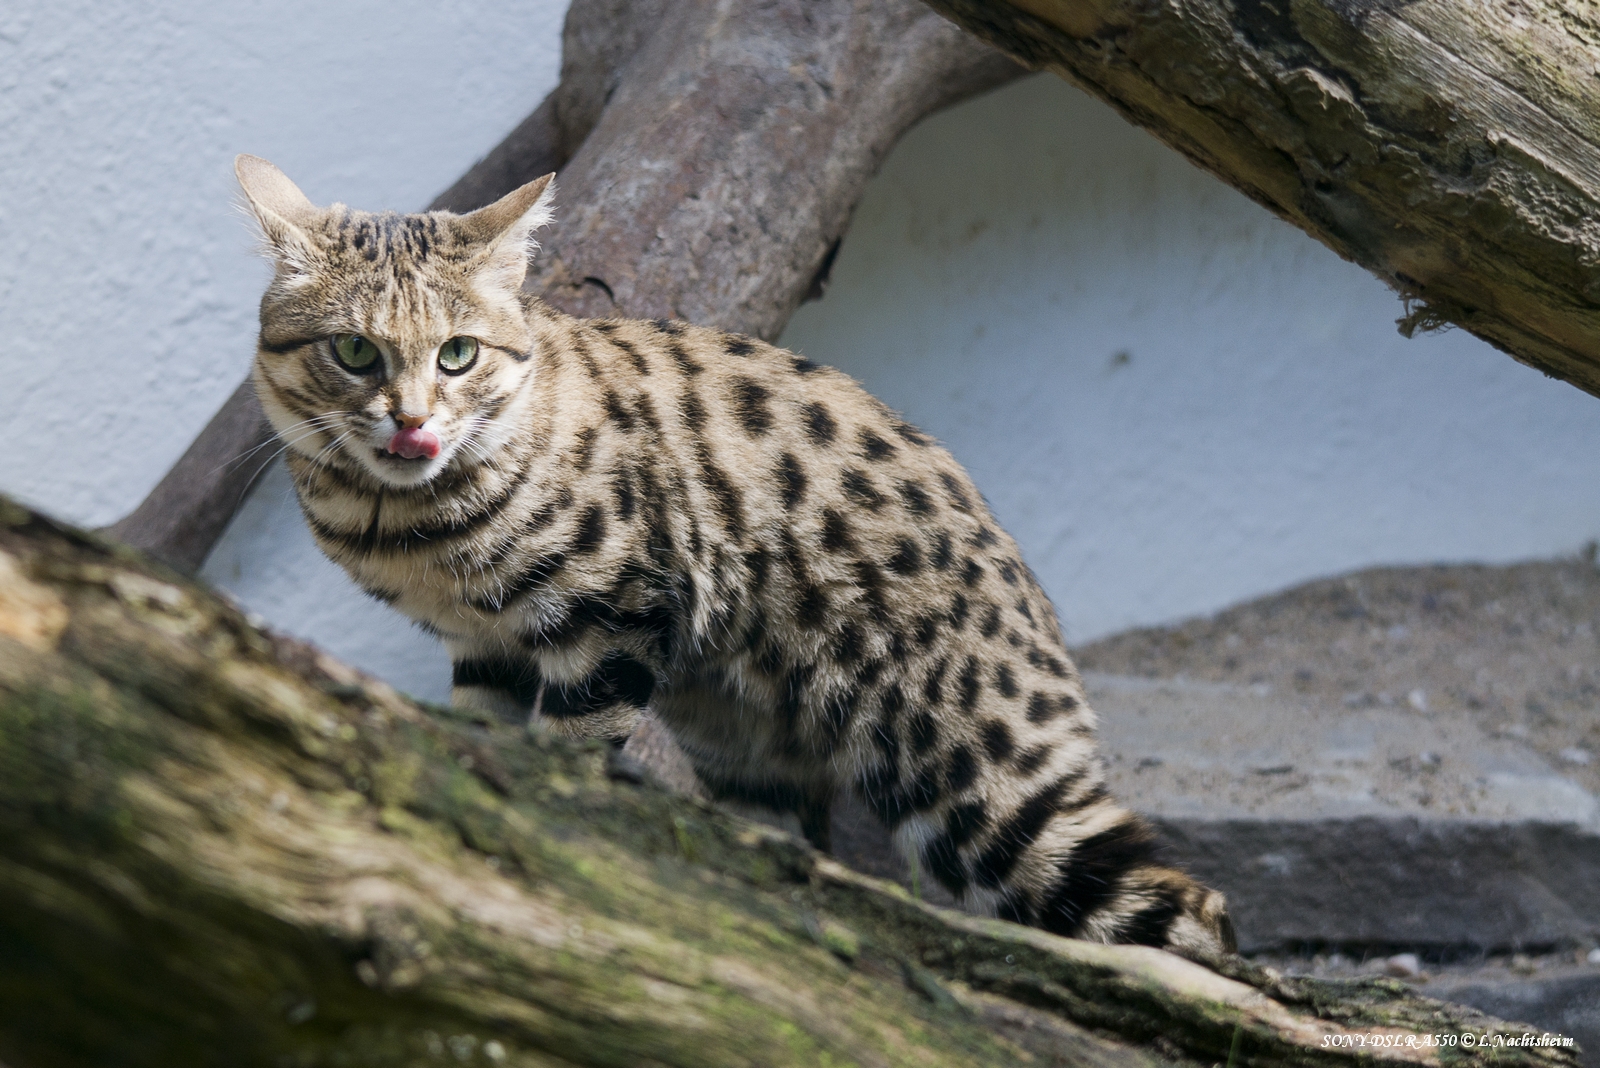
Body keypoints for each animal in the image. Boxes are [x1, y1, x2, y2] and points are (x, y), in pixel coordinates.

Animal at [236, 151, 1235, 959]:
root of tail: (1032, 596)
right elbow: (483, 740)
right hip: (752, 751)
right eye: (354, 351)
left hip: (976, 781)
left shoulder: (610, 617)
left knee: (1187, 909)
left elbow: (565, 759)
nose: (411, 423)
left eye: (457, 355)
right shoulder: (488, 648)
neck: (405, 519)